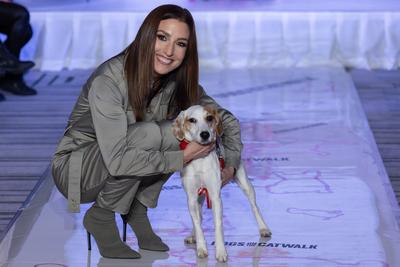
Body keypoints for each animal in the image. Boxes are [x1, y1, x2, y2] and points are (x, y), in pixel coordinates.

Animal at [172, 105, 272, 262]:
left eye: (209, 118)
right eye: (192, 120)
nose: (205, 134)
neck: (199, 160)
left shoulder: (215, 196)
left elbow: (218, 225)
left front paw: (220, 252)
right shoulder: (192, 198)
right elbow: (197, 224)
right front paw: (201, 248)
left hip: (245, 183)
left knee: (254, 206)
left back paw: (263, 228)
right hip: (200, 197)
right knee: (199, 218)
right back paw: (192, 236)